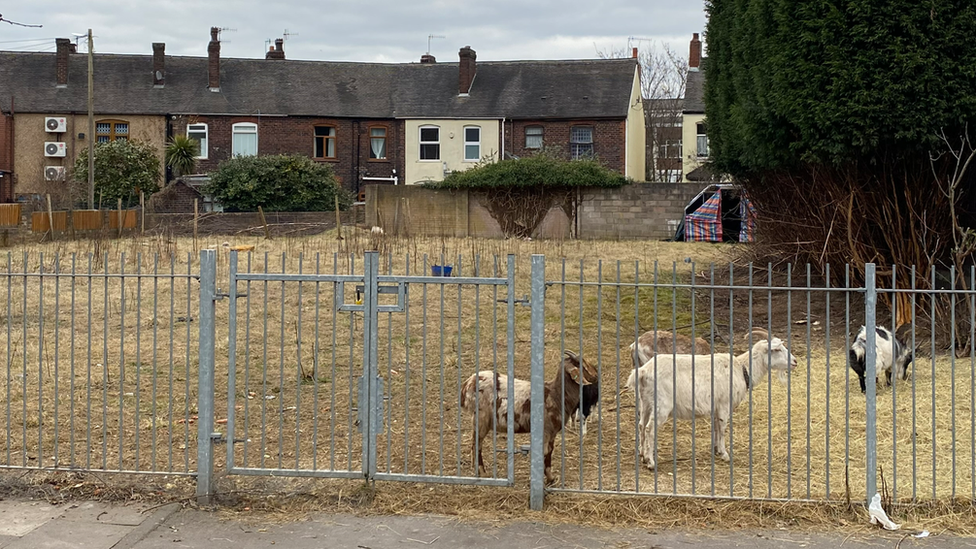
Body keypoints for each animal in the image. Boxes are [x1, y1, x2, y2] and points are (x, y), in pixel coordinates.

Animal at [462, 352, 600, 484]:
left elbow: (549, 452)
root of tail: (468, 383)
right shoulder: (545, 430)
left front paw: (551, 478)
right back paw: (482, 472)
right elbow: (544, 452)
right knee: (476, 445)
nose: (596, 375)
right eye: (581, 364)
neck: (555, 394)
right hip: (481, 419)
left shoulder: (552, 432)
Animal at [628, 328, 796, 468]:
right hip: (661, 406)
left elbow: (716, 427)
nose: (795, 361)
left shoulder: (716, 407)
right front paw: (724, 454)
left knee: (641, 425)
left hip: (645, 402)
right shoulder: (724, 405)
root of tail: (643, 371)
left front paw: (716, 450)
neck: (742, 369)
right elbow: (722, 428)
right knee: (649, 428)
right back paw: (650, 461)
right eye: (778, 349)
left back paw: (642, 454)